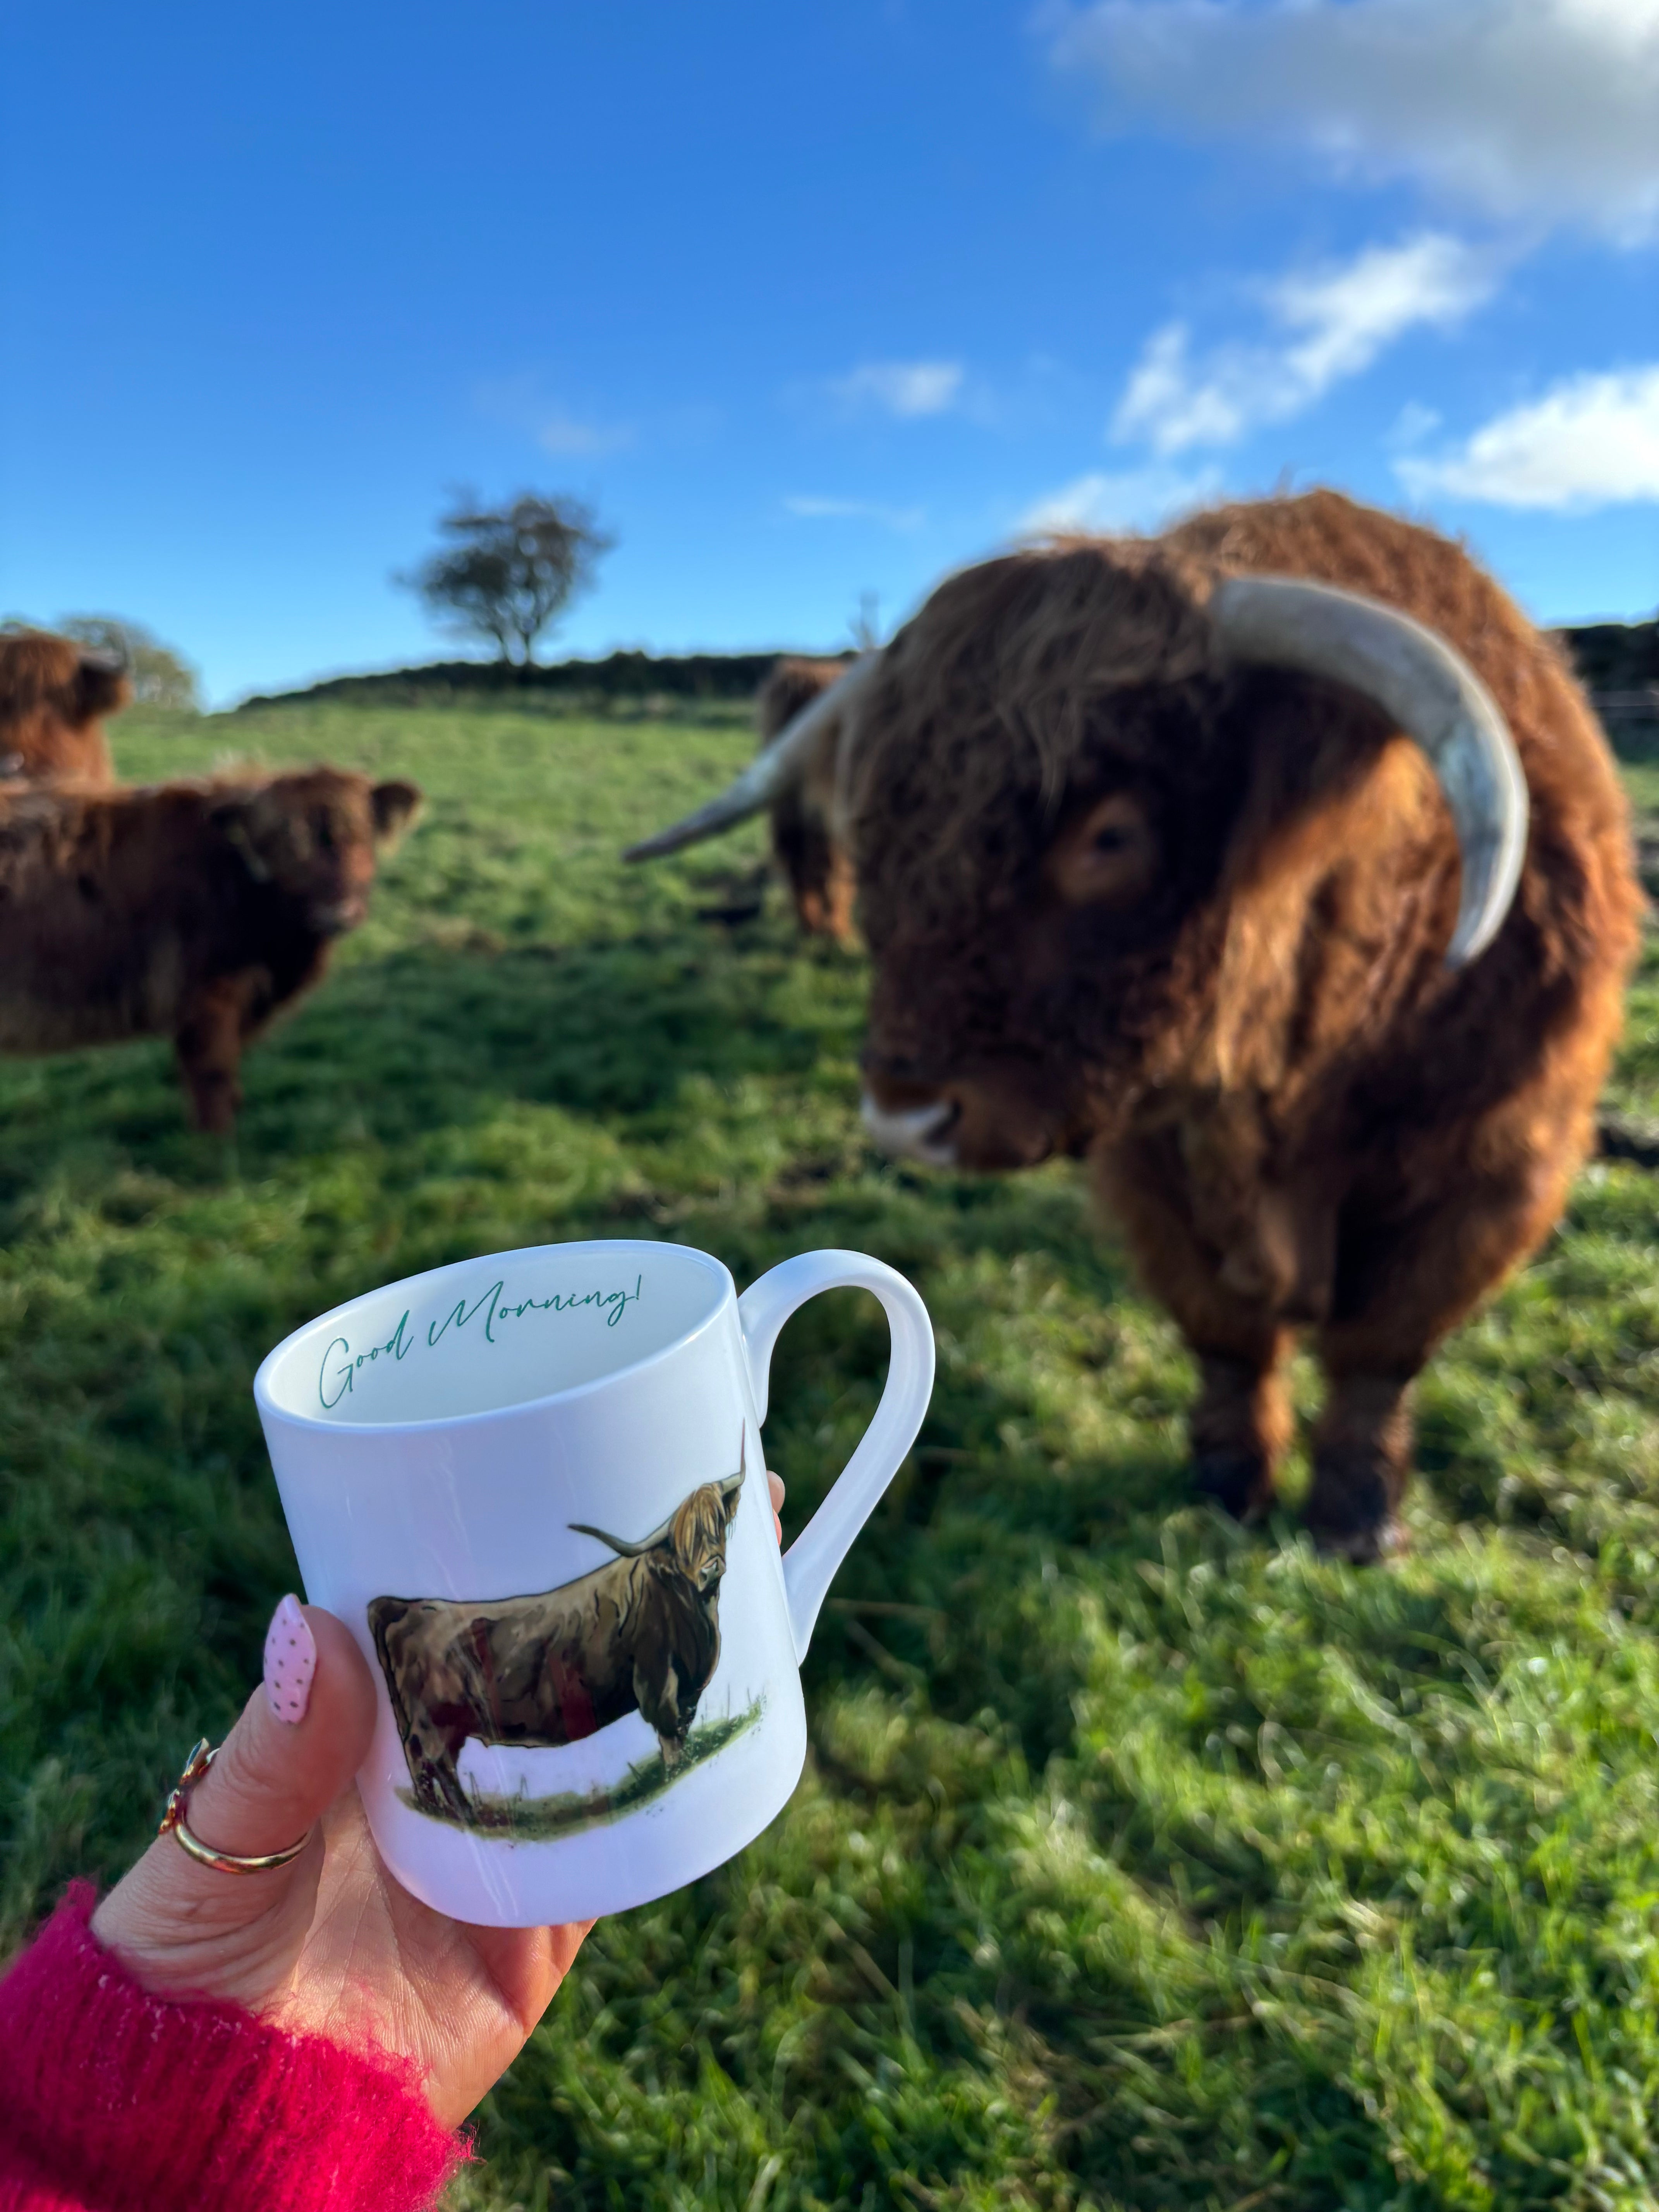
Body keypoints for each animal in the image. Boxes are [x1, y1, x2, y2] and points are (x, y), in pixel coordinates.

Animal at [0, 766, 422, 1132]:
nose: (339, 912)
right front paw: (219, 1152)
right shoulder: (205, 999)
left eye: (361, 835)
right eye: (283, 845)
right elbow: (212, 1074)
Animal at [368, 1441, 746, 1821]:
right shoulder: (654, 1678)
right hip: (434, 1723)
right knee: (430, 1762)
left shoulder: (691, 1684)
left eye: (717, 1522)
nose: (711, 1570)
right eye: (684, 1542)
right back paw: (461, 1816)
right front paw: (677, 1774)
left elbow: (684, 1728)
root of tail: (409, 1606)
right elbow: (670, 1735)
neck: (695, 1621)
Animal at [629, 491, 1643, 1562]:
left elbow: (1382, 1346)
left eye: (1111, 835)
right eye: (885, 835)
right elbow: (1225, 1330)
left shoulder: (1495, 1161)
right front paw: (1228, 1482)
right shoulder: (1153, 1167)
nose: (904, 1116)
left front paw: (1357, 1515)